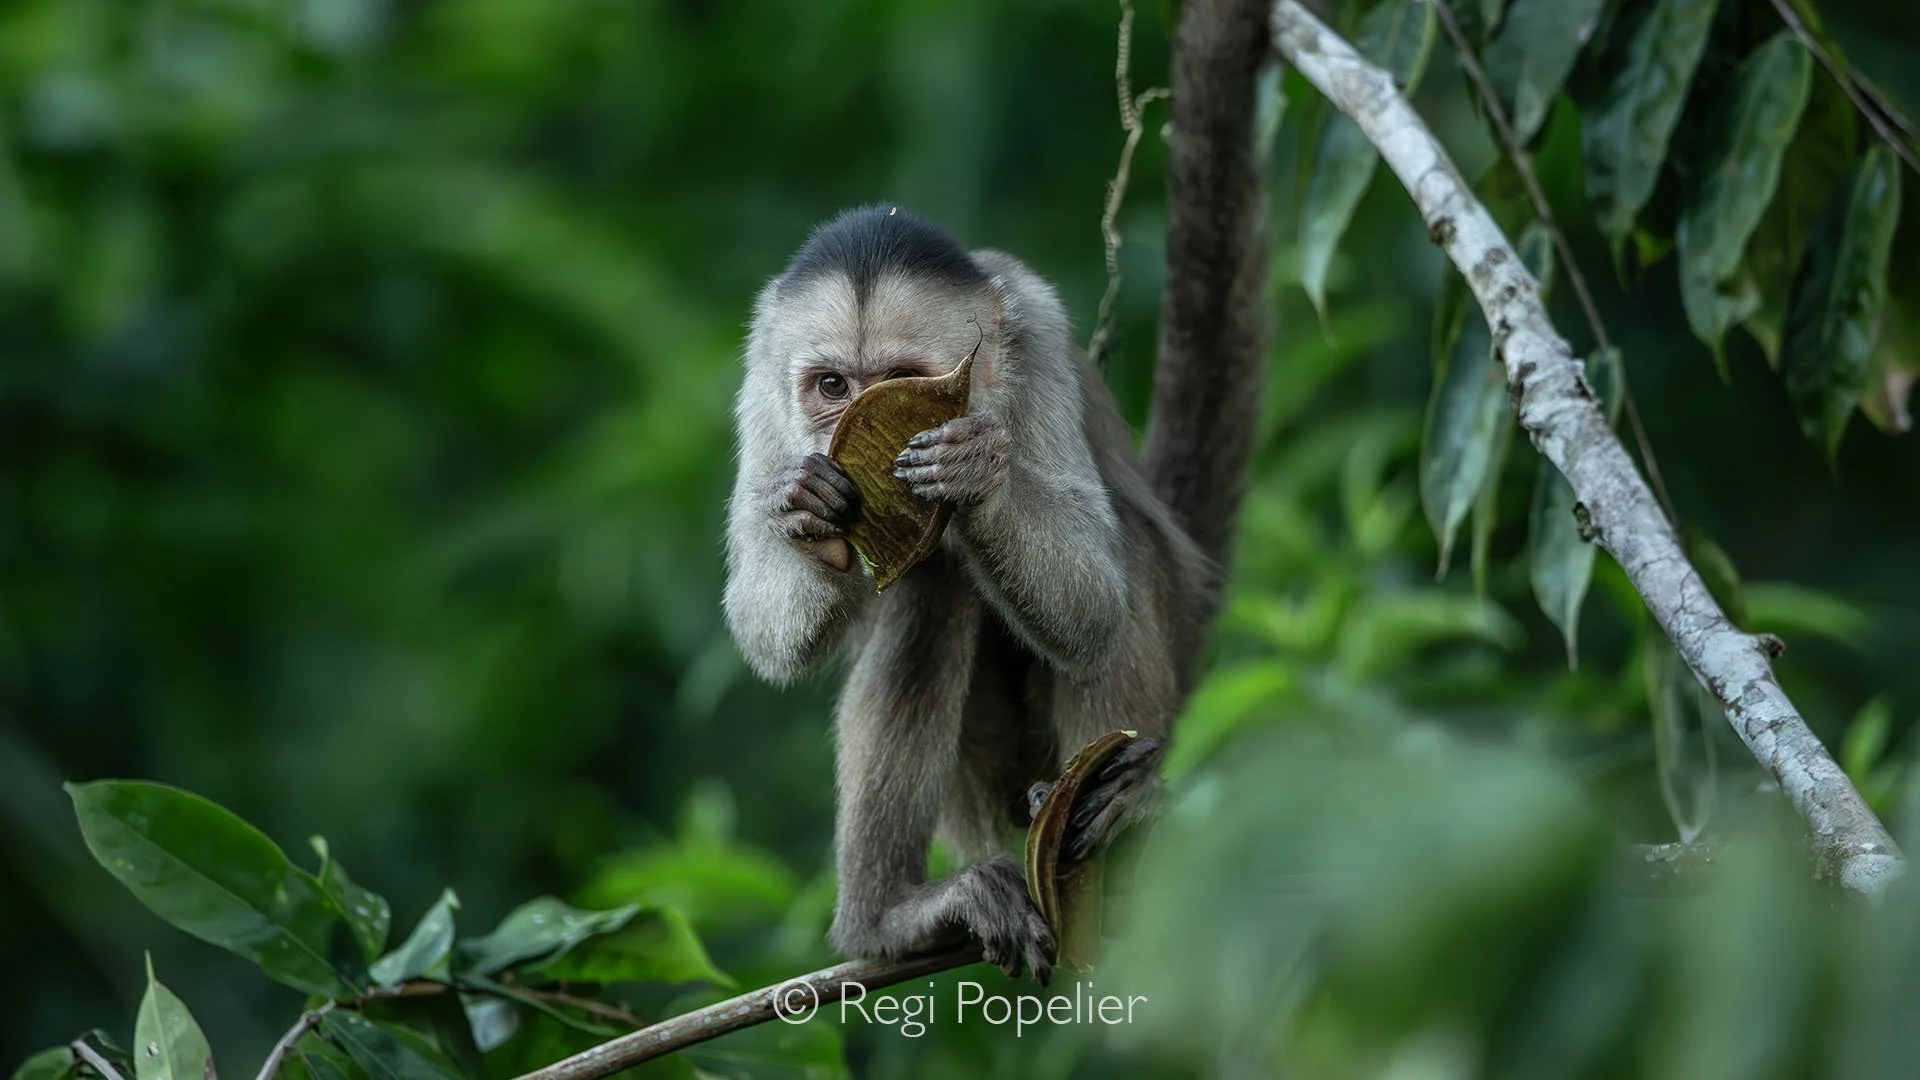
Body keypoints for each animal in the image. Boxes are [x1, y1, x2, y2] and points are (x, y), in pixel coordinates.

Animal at [721, 0, 1275, 985]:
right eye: (832, 386)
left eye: (900, 382)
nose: (850, 427)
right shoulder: (759, 374)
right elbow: (760, 629)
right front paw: (803, 506)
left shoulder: (1041, 333)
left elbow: (1092, 603)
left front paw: (977, 480)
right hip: (985, 799)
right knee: (930, 588)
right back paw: (889, 918)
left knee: (1115, 563)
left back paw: (1115, 830)